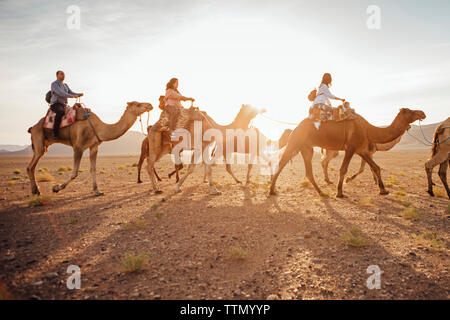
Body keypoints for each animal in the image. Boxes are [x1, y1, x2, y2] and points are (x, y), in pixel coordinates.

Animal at [268, 108, 428, 198]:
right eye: (409, 111)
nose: (423, 113)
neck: (368, 129)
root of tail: (295, 127)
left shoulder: (361, 149)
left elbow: (375, 167)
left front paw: (383, 190)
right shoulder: (351, 147)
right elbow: (343, 169)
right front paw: (340, 192)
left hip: (306, 147)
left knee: (307, 171)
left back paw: (321, 192)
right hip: (295, 142)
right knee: (282, 163)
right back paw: (271, 191)